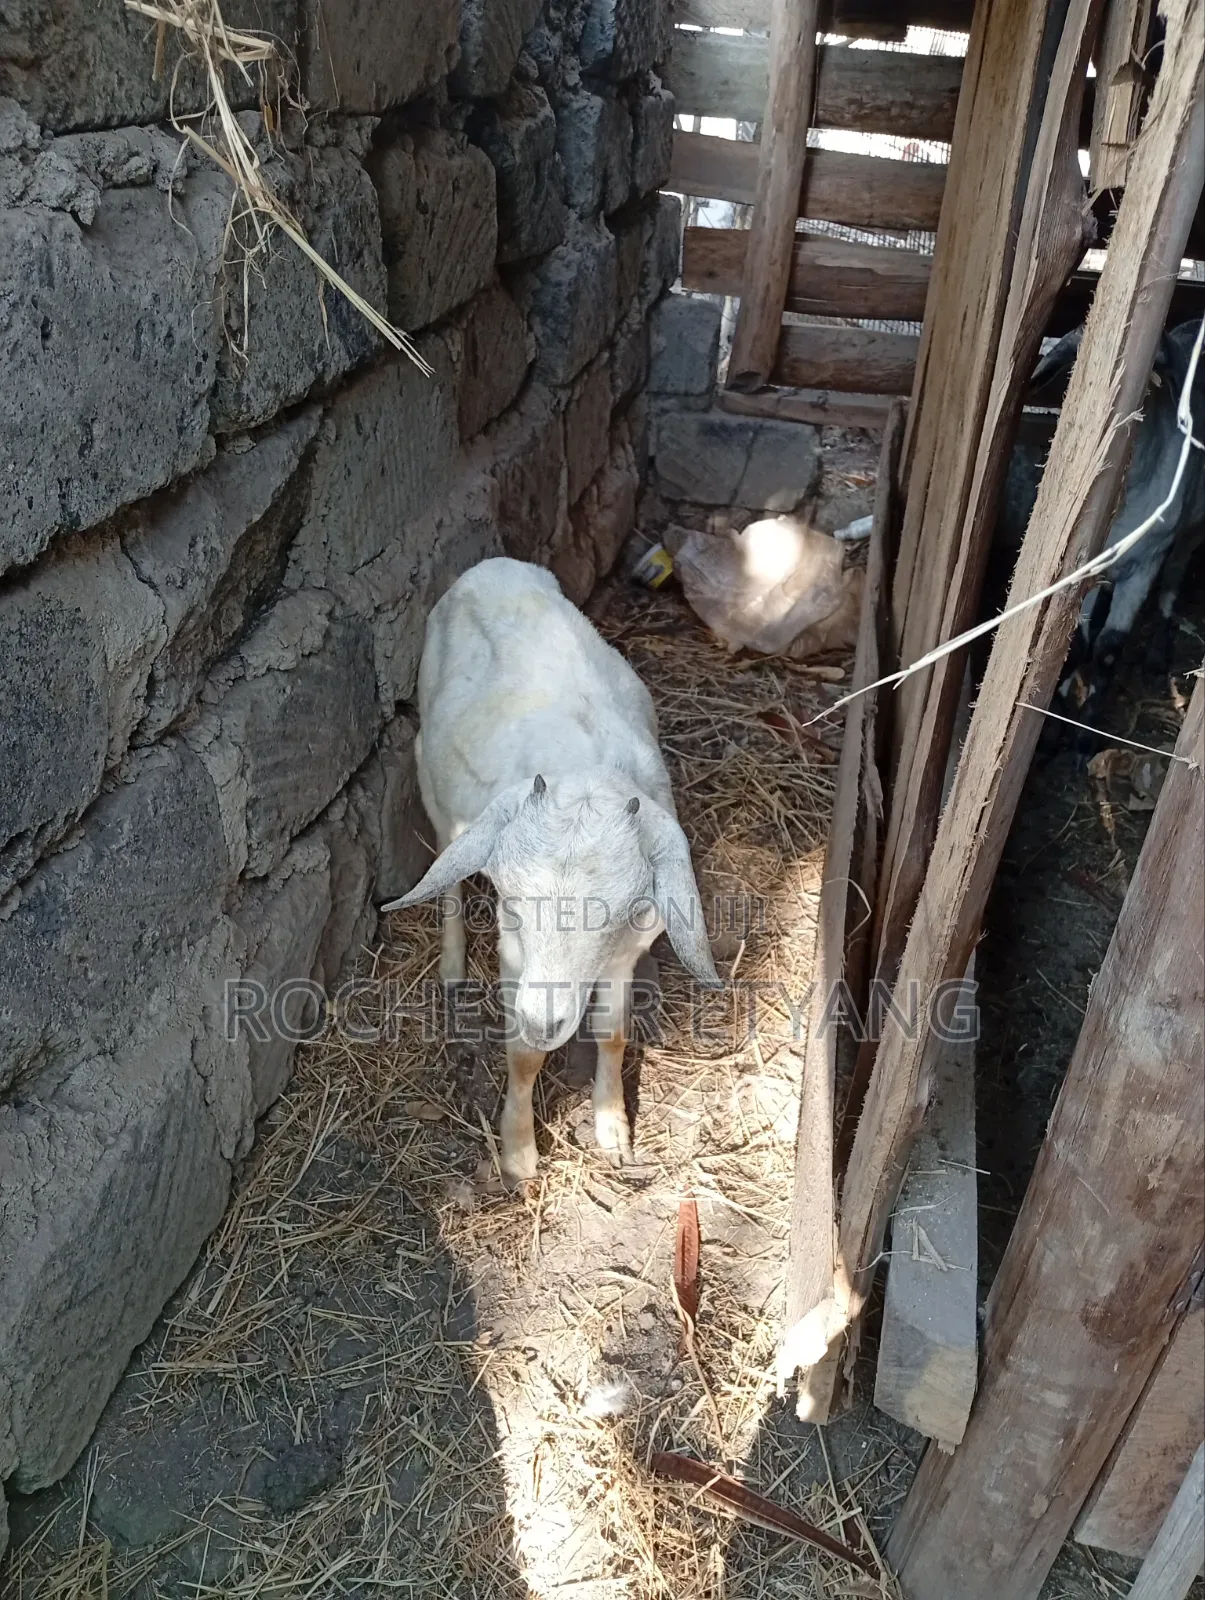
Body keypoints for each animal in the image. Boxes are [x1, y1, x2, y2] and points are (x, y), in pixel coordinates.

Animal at [380, 557, 720, 1184]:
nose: (544, 1019)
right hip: (432, 781)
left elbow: (613, 1034)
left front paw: (613, 1128)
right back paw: (452, 964)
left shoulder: (626, 953)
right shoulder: (517, 958)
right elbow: (523, 1055)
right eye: (513, 904)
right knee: (448, 870)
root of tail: (493, 565)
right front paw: (517, 1153)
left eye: (620, 913)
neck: (587, 772)